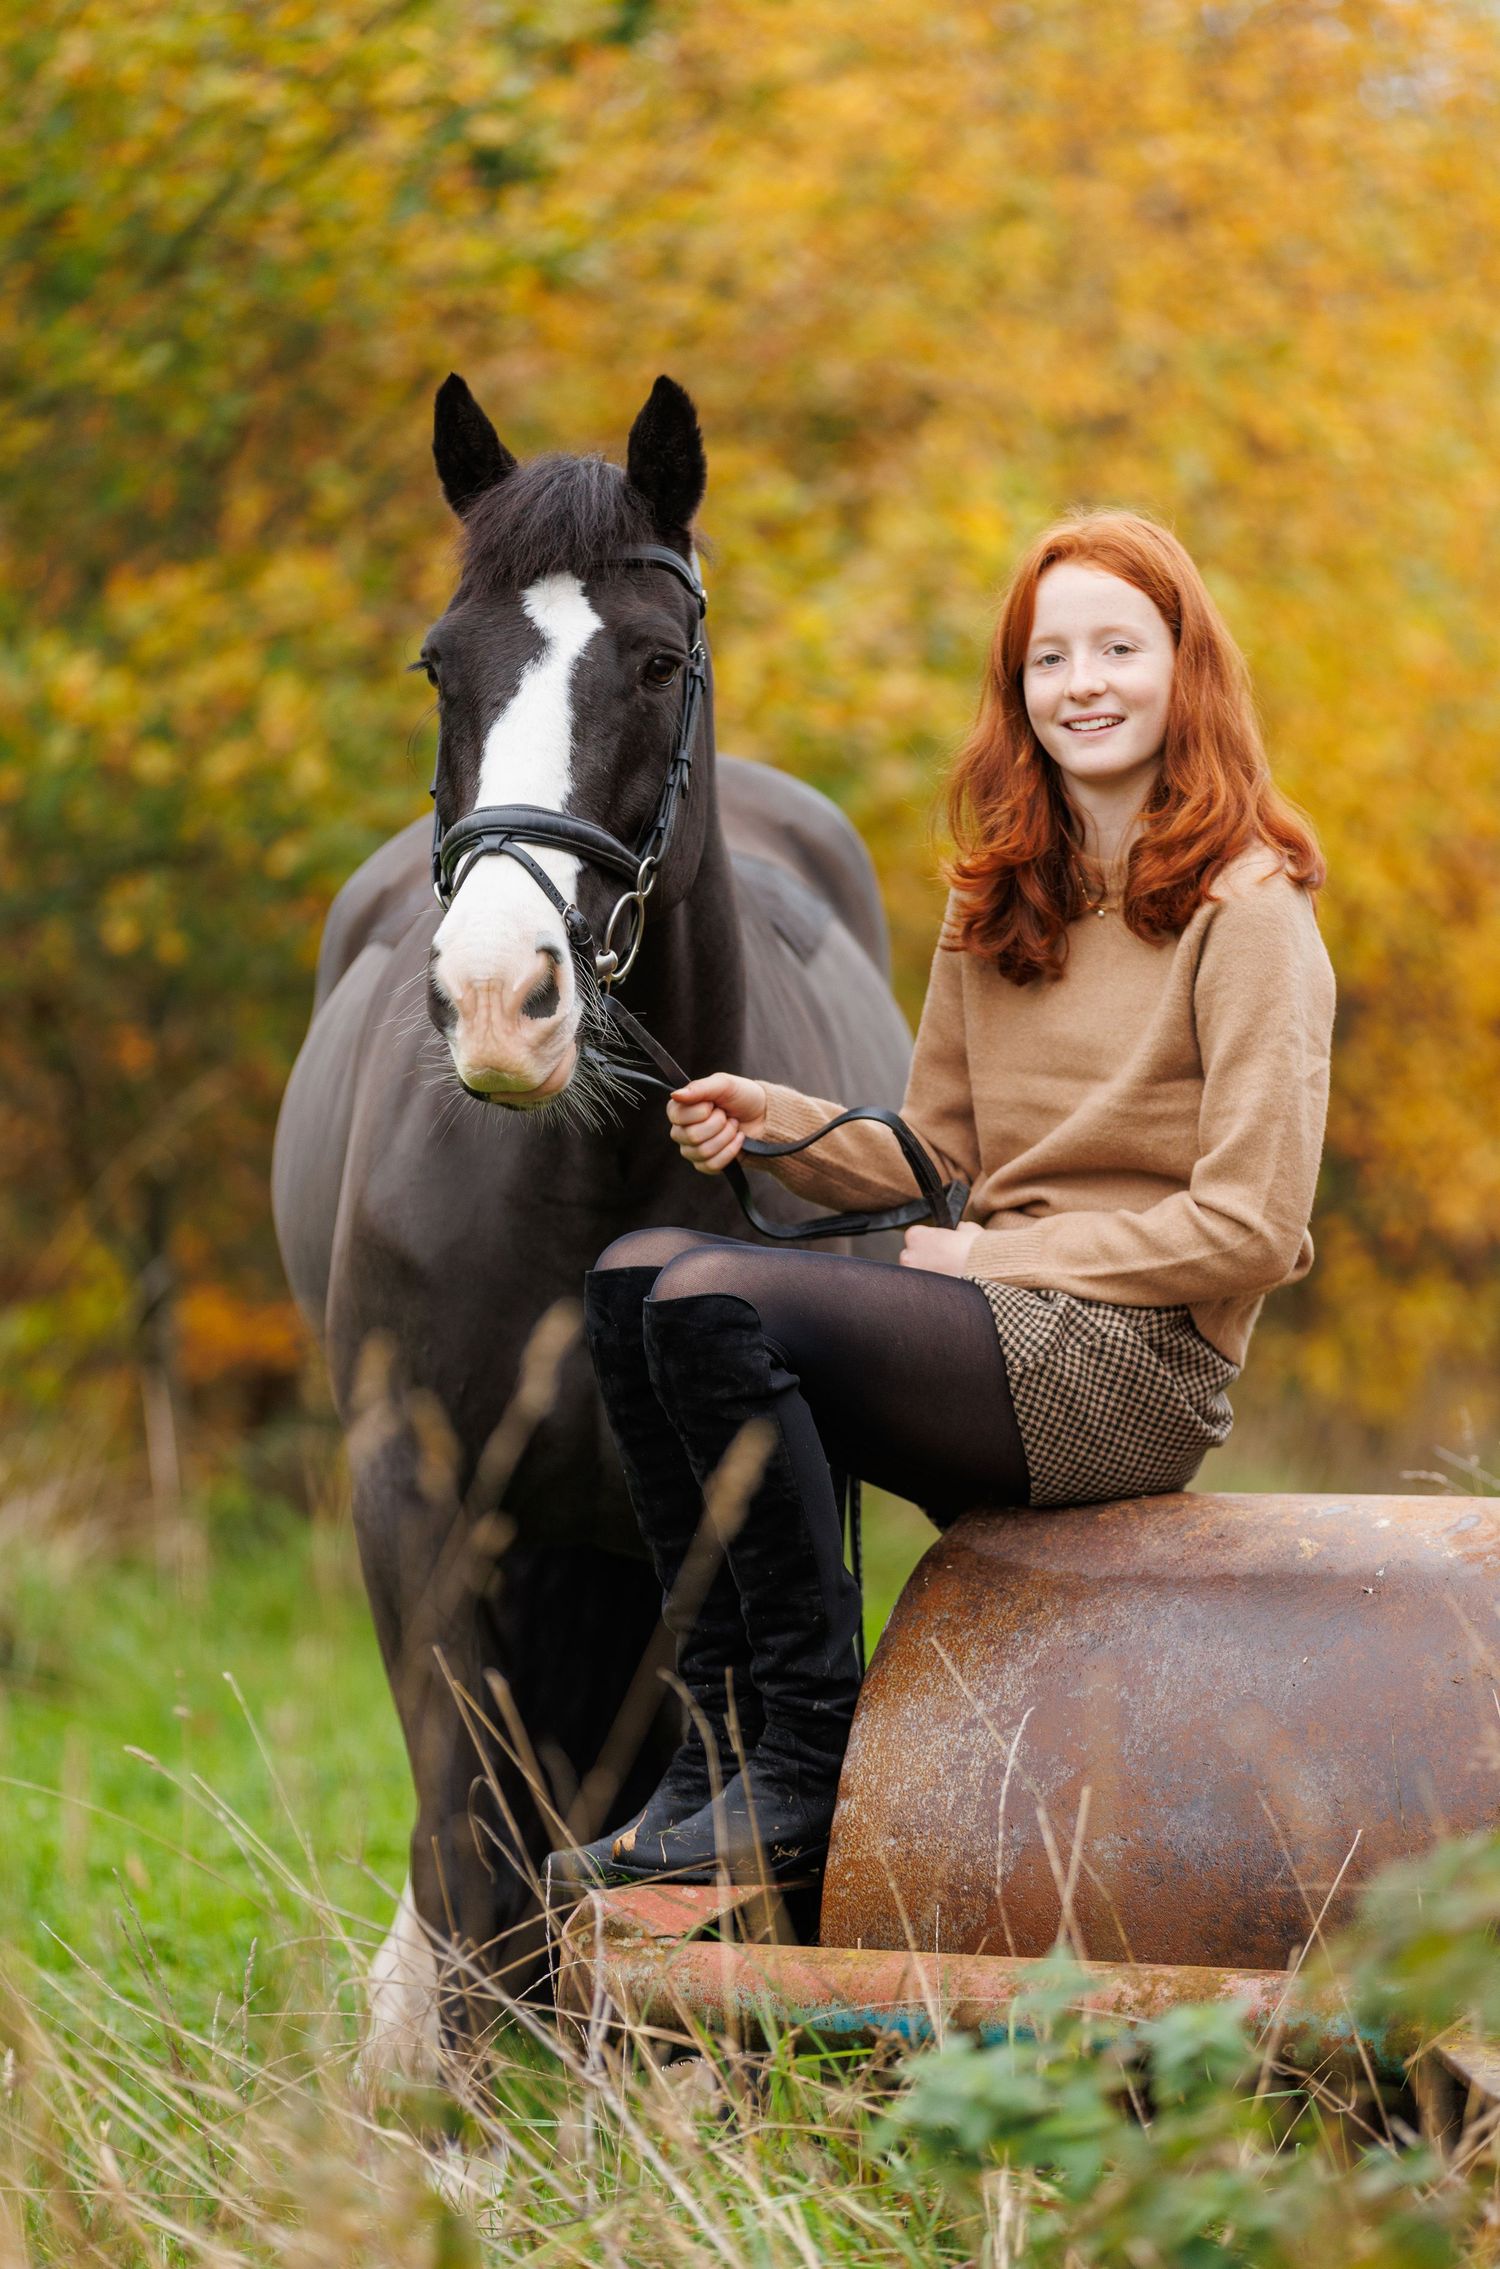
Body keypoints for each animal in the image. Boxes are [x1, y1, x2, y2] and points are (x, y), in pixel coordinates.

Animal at [272, 373, 912, 2063]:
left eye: (660, 662)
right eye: (443, 663)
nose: (503, 997)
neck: (573, 1187)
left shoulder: (714, 1507)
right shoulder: (415, 1495)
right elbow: (467, 1829)